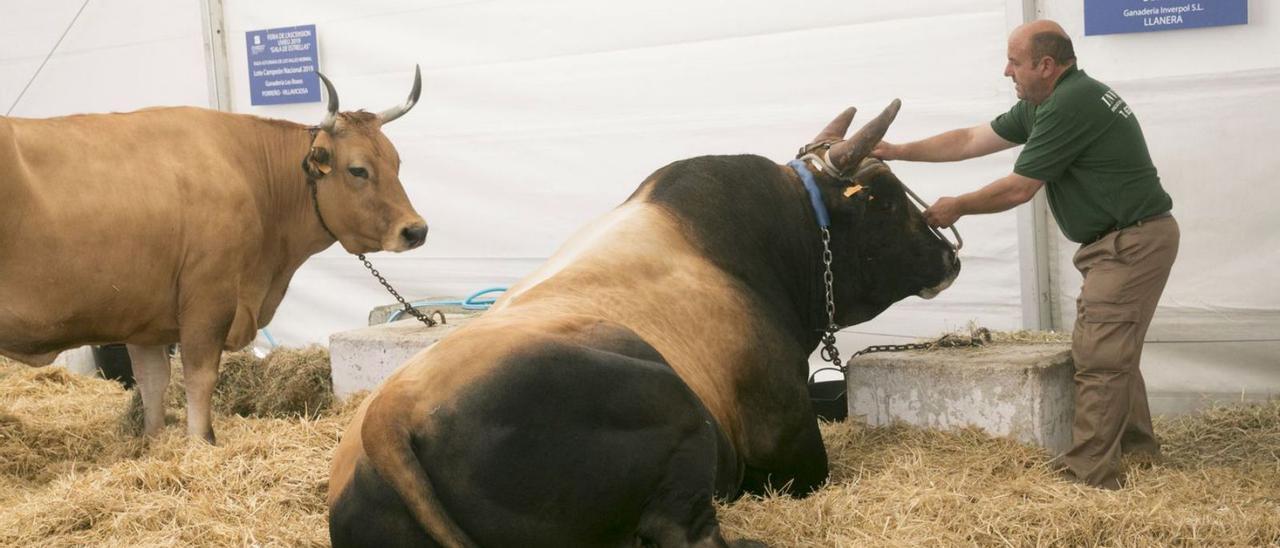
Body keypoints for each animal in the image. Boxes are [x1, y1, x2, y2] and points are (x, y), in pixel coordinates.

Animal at [0, 69, 430, 445]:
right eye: (357, 169)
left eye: (396, 162)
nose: (416, 230)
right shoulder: (209, 299)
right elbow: (199, 377)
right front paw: (201, 441)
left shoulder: (143, 321)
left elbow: (152, 384)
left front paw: (154, 445)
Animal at [330, 100, 962, 545]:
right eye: (883, 197)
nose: (949, 255)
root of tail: (388, 417)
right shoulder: (787, 442)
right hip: (674, 405)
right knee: (683, 531)